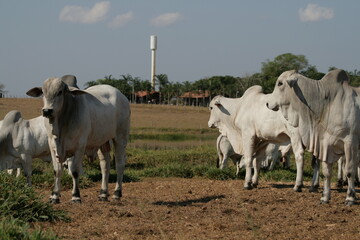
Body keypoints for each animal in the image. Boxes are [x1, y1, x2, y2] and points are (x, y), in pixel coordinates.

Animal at [268, 69, 360, 204]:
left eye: (280, 83)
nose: (267, 103)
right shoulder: (324, 144)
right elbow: (326, 172)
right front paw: (325, 197)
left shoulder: (350, 142)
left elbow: (349, 170)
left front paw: (350, 197)